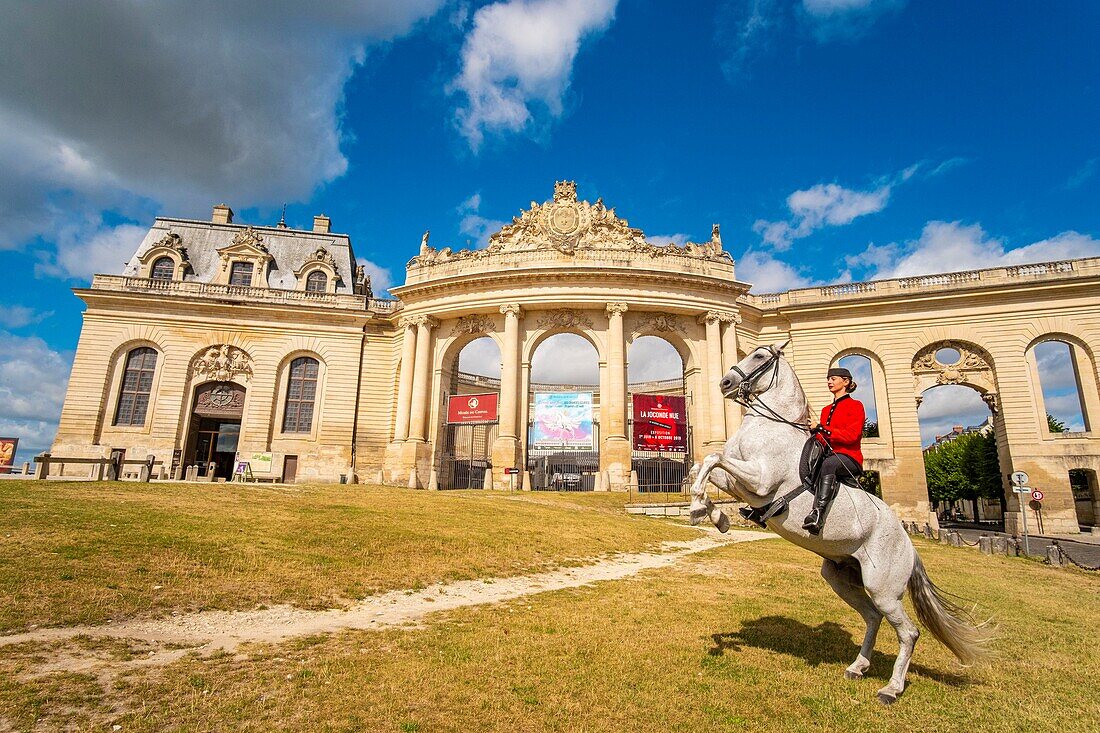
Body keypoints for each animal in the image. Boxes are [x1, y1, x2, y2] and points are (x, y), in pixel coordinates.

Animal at [686, 343, 990, 704]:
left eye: (759, 357)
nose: (725, 383)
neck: (770, 427)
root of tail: (910, 545)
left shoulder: (760, 482)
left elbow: (712, 458)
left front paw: (698, 508)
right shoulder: (742, 484)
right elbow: (702, 466)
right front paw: (712, 514)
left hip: (884, 589)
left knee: (909, 632)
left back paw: (891, 688)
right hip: (840, 577)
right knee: (872, 617)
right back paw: (858, 667)